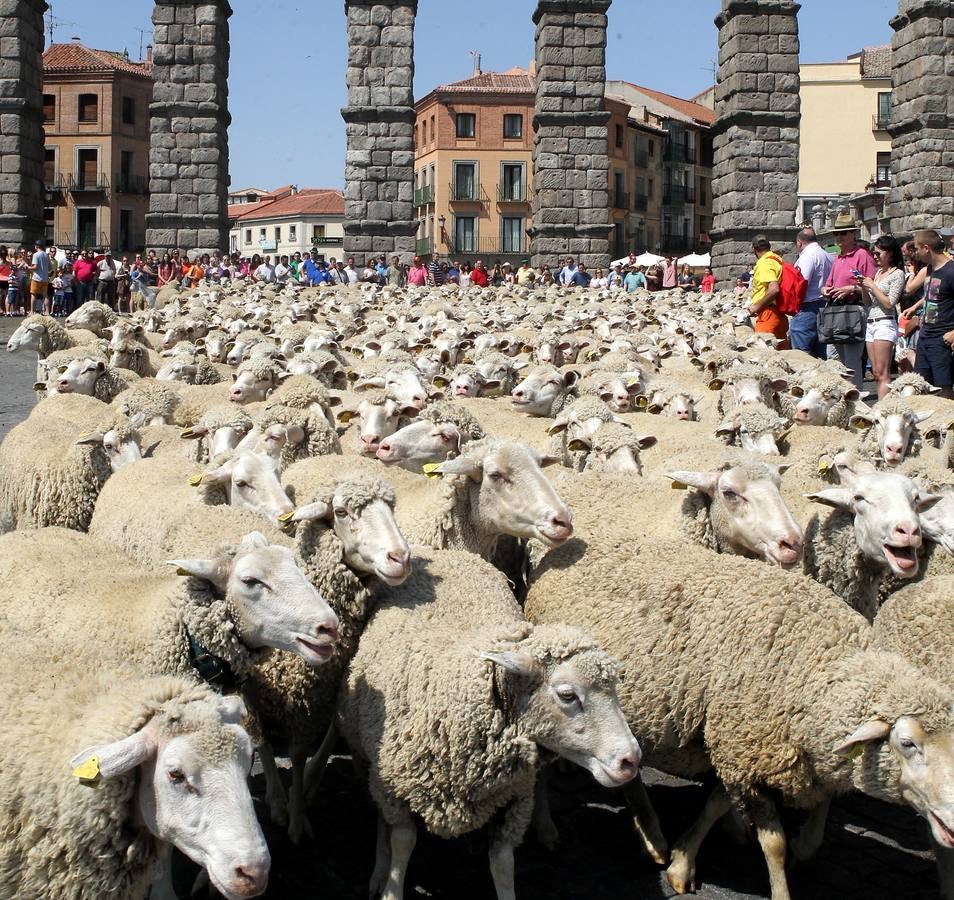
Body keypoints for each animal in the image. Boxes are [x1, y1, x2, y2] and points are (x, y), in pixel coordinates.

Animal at [336, 544, 640, 900]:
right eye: (567, 695)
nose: (631, 760)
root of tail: (446, 552)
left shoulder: (515, 799)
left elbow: (502, 863)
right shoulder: (394, 784)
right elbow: (402, 842)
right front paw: (390, 887)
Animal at [524, 536, 952, 896]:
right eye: (907, 743)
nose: (951, 821)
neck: (821, 671)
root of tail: (560, 553)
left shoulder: (749, 749)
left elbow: (724, 806)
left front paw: (688, 857)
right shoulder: (743, 748)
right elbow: (773, 844)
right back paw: (610, 833)